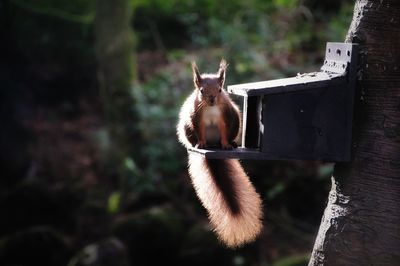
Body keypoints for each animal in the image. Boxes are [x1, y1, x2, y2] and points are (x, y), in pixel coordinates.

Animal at [177, 59, 264, 247]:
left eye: (219, 89)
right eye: (201, 90)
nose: (211, 99)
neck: (211, 108)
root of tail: (213, 146)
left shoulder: (227, 116)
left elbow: (224, 131)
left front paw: (225, 144)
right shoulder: (196, 118)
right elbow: (200, 131)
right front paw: (200, 143)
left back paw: (230, 144)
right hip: (186, 127)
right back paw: (198, 144)